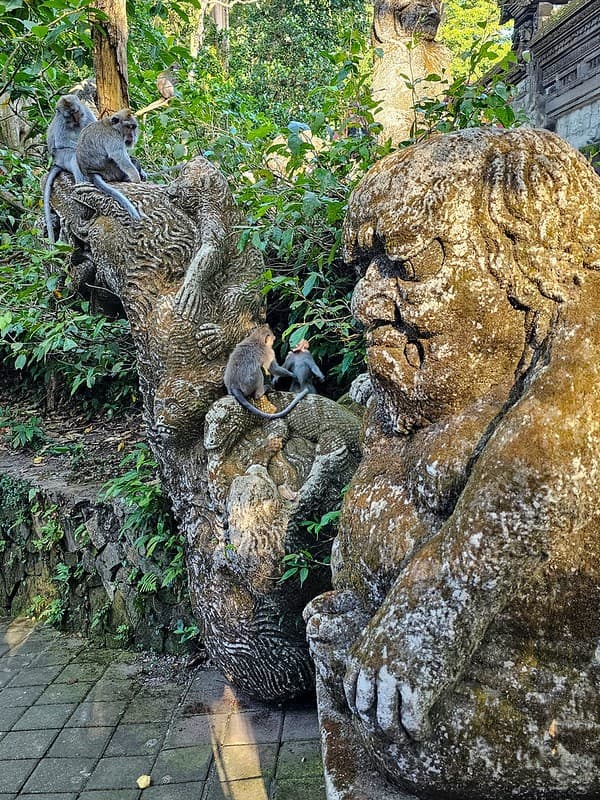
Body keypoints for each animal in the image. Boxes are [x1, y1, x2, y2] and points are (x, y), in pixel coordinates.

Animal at [44, 94, 97, 243]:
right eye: (69, 115)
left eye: (76, 112)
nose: (77, 119)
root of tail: (57, 163)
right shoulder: (62, 121)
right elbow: (62, 141)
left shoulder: (86, 112)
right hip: (61, 157)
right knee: (73, 155)